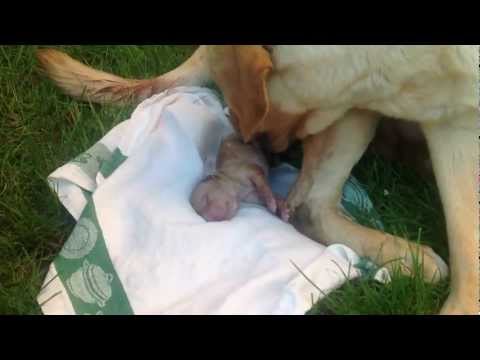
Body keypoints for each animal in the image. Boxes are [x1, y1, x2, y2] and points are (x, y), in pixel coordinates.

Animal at [38, 45, 480, 316]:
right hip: (351, 113)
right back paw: (414, 255)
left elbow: (468, 246)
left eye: (244, 109)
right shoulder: (448, 120)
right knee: (311, 206)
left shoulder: (455, 121)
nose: (255, 143)